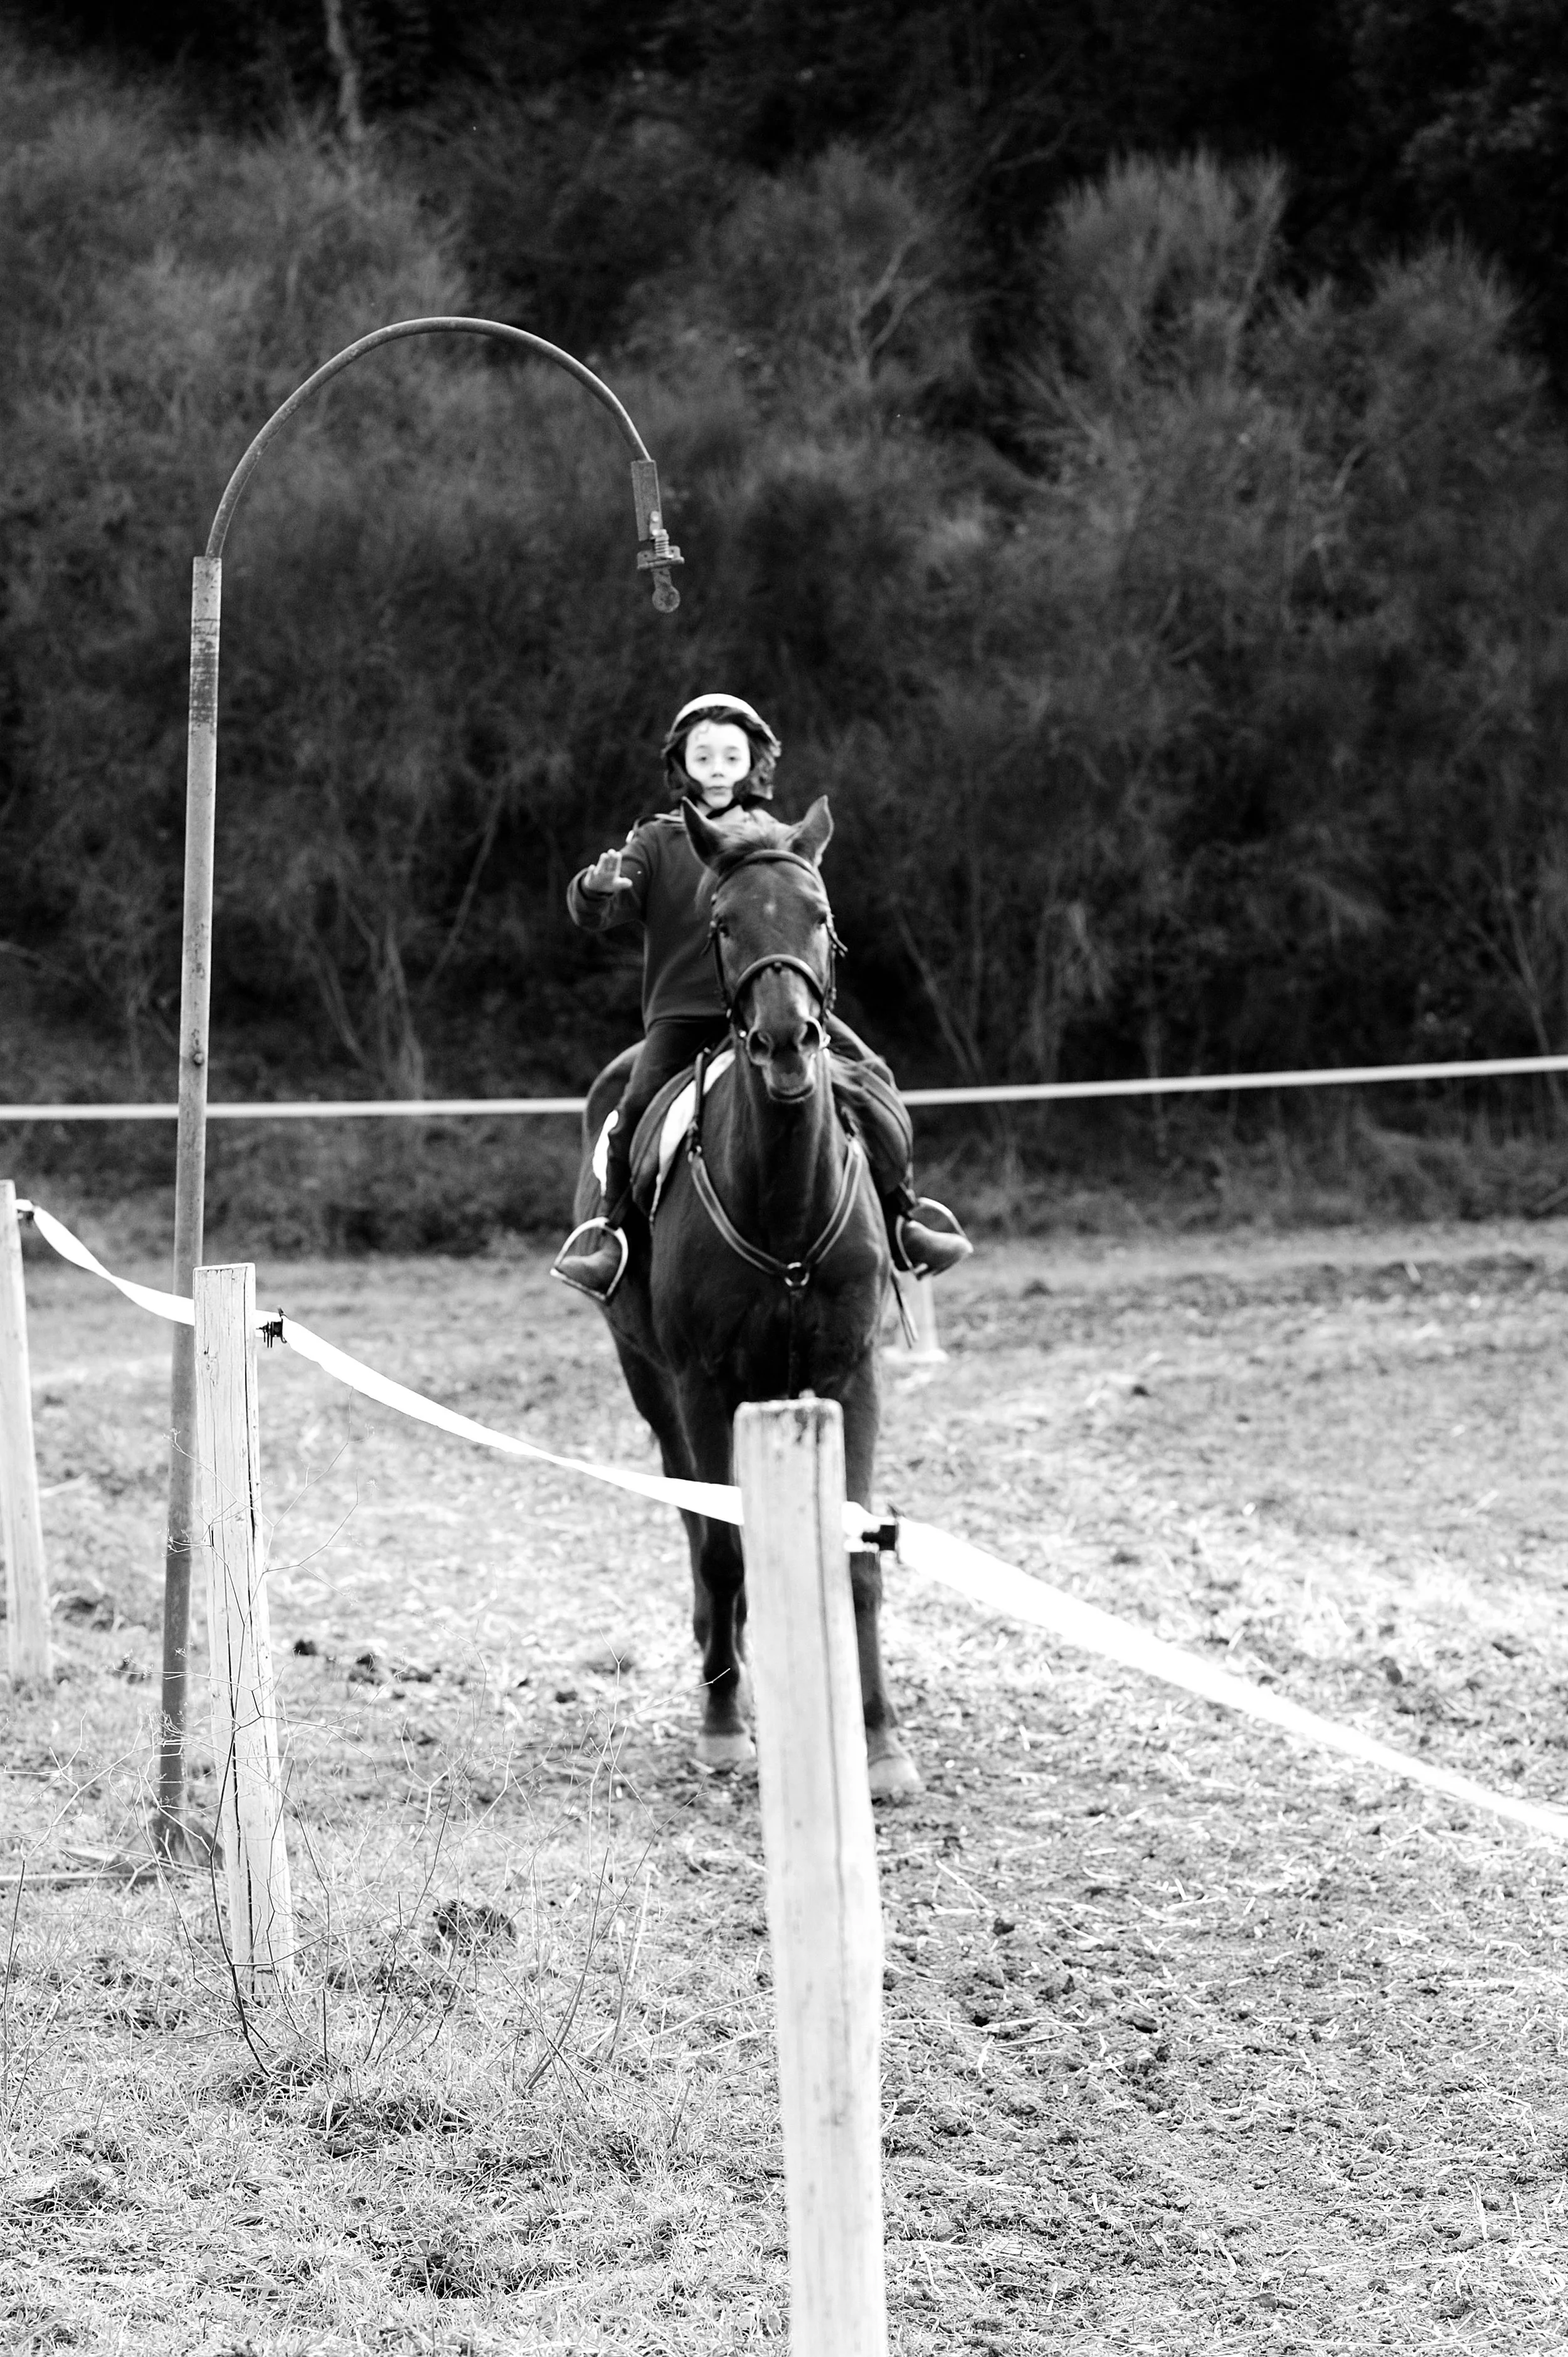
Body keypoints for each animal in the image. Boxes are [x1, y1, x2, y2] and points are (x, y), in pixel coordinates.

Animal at [572, 793, 922, 1800]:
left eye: (820, 915)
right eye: (723, 923)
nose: (784, 1039)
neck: (784, 1207)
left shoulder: (849, 1376)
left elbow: (855, 1556)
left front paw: (881, 1744)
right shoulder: (700, 1384)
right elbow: (725, 1550)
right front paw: (725, 1727)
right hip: (651, 1382)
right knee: (697, 1523)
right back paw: (721, 1668)